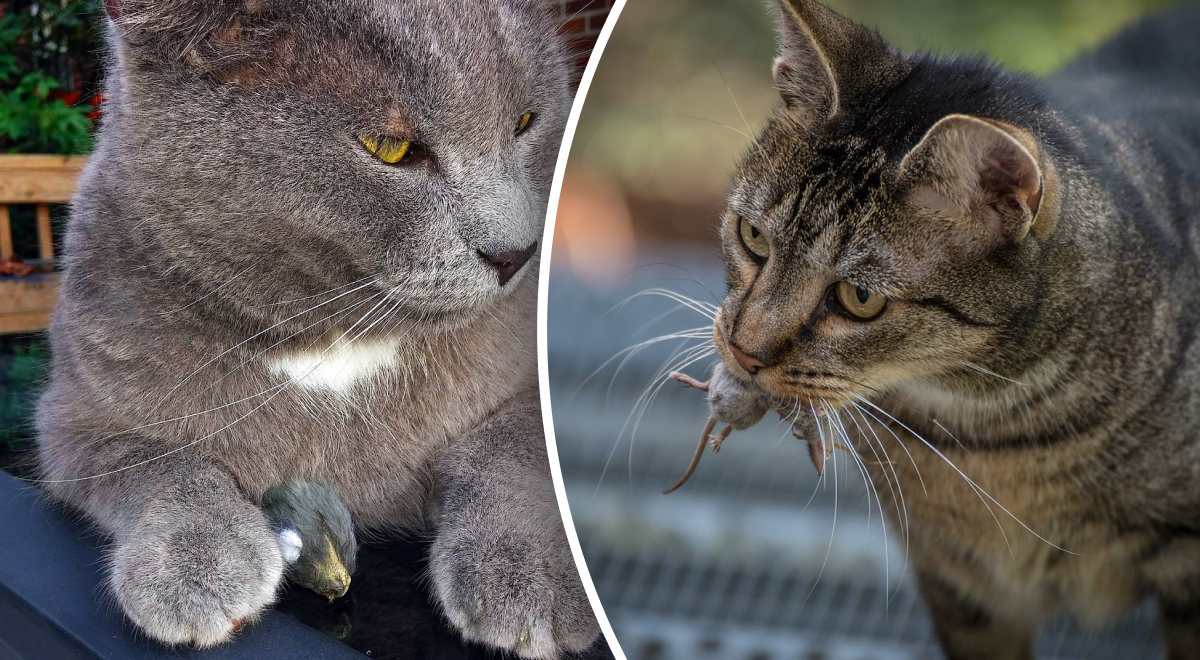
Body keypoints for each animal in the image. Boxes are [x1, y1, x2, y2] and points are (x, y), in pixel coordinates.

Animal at [37, 1, 600, 657]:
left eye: (525, 123)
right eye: (391, 148)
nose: (517, 253)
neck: (339, 335)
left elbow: (509, 445)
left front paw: (531, 576)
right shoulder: (75, 411)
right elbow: (151, 460)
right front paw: (196, 567)